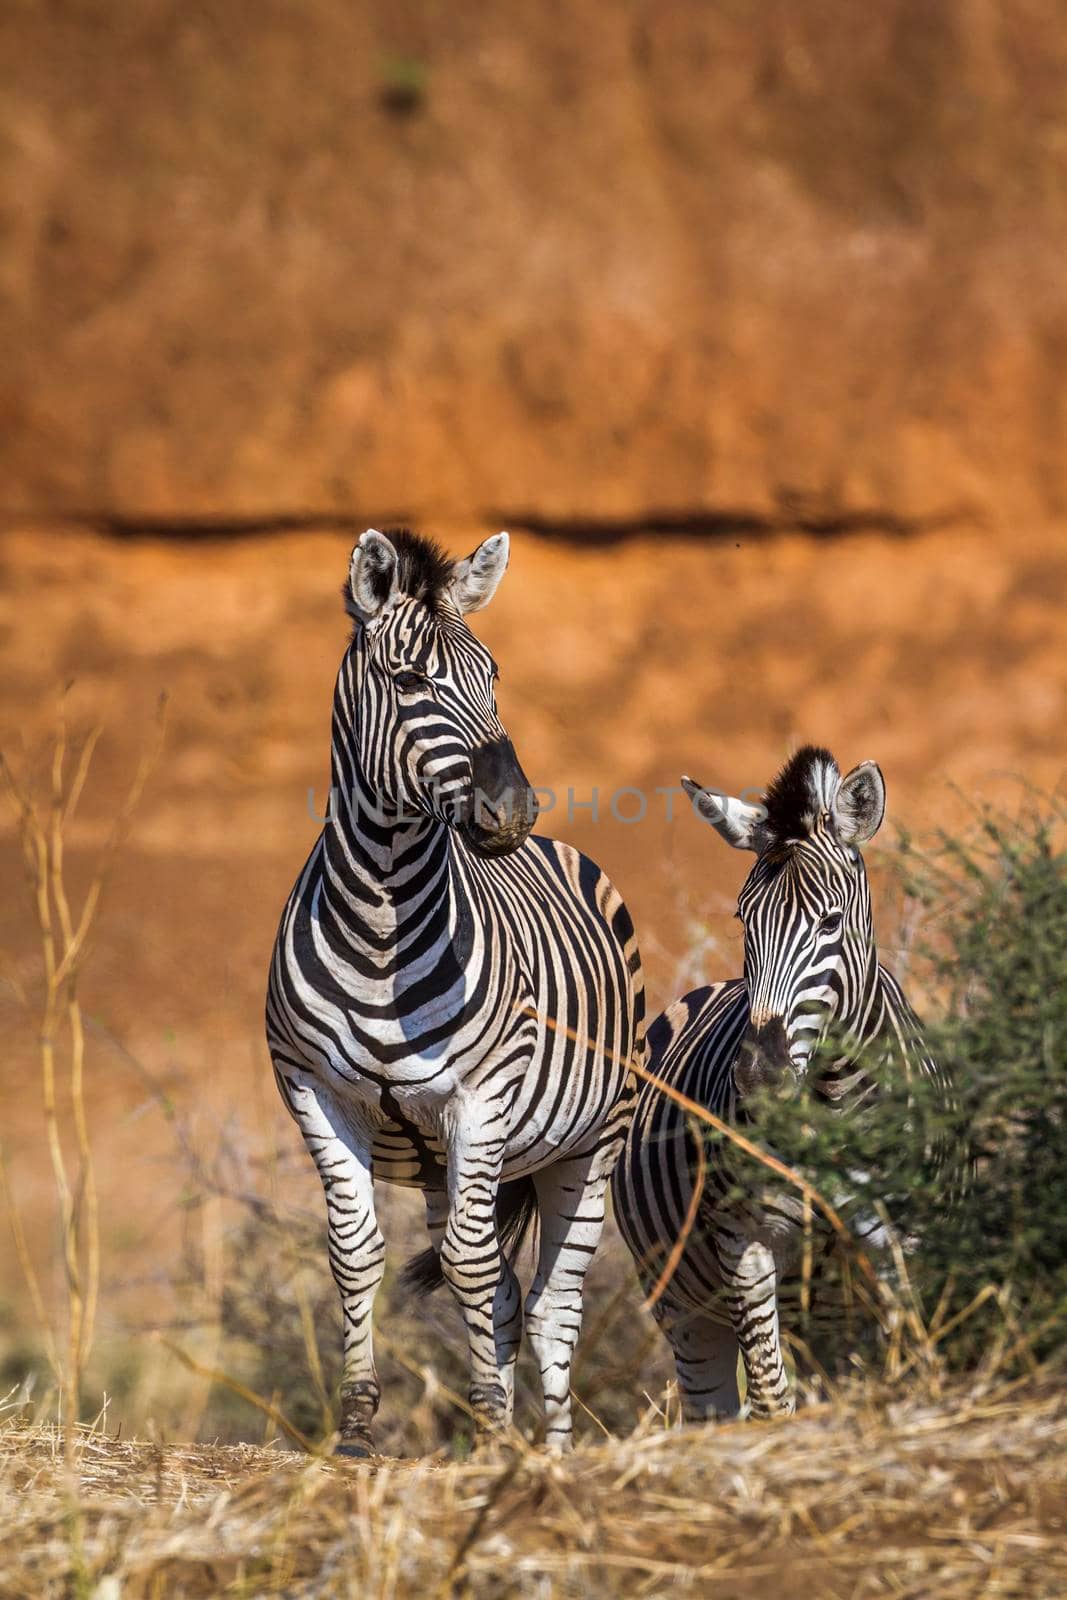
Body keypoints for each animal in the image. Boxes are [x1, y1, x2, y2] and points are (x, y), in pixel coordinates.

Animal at [268, 531, 643, 1459]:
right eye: (409, 682)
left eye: (493, 674)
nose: (509, 811)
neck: (380, 923)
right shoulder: (315, 1091)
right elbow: (356, 1252)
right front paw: (358, 1430)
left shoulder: (481, 1095)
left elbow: (473, 1270)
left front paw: (497, 1432)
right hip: (449, 1159)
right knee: (504, 1287)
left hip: (588, 1143)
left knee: (550, 1305)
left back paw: (547, 1449)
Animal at [607, 742, 940, 1420]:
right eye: (744, 920)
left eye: (831, 923)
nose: (759, 1077)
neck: (831, 1104)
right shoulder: (745, 1243)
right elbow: (768, 1396)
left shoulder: (903, 1239)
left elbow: (906, 1354)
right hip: (681, 1300)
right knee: (713, 1399)